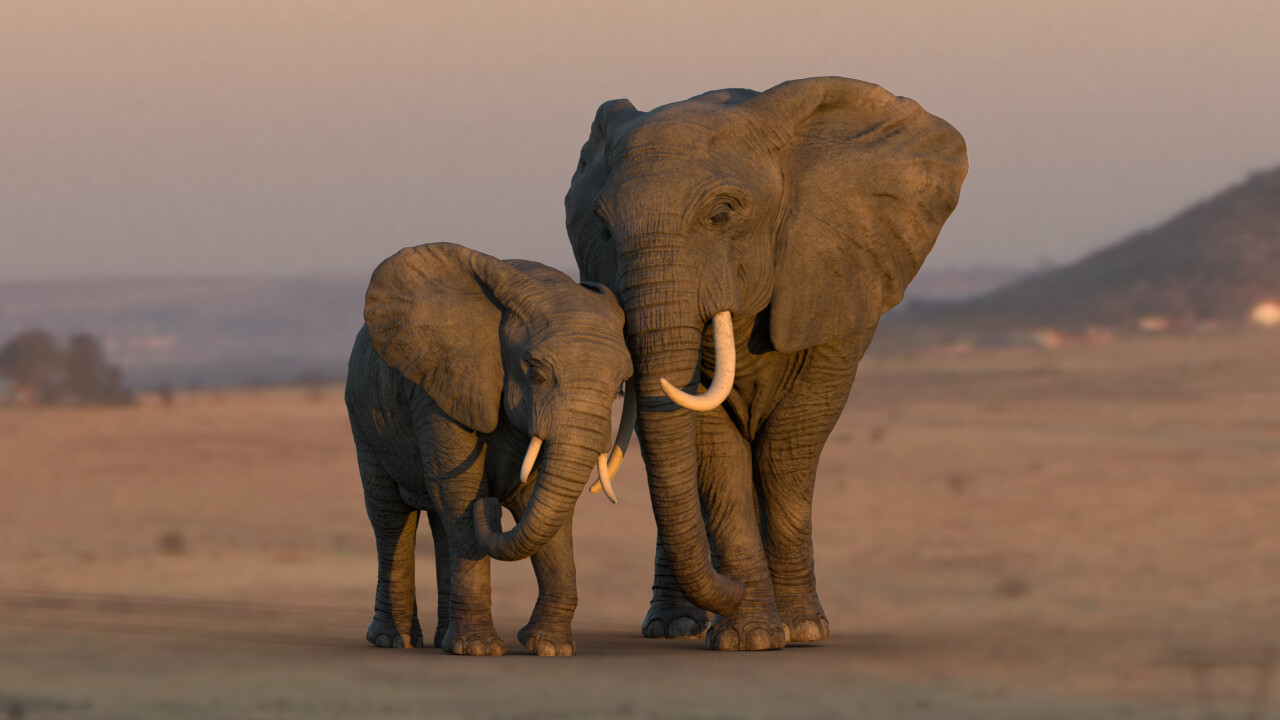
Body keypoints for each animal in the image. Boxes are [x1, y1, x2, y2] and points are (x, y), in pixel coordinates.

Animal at [345, 242, 635, 656]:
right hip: (365, 415)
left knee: (441, 525)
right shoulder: (442, 386)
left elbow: (537, 499)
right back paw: (394, 640)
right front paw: (478, 649)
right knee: (390, 517)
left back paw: (441, 640)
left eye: (620, 389)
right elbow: (461, 491)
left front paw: (549, 648)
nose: (492, 509)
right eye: (536, 373)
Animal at [564, 76, 968, 650]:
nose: (730, 590)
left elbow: (790, 440)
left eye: (722, 214)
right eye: (602, 227)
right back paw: (673, 628)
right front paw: (749, 636)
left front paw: (803, 630)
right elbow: (713, 442)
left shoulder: (837, 276)